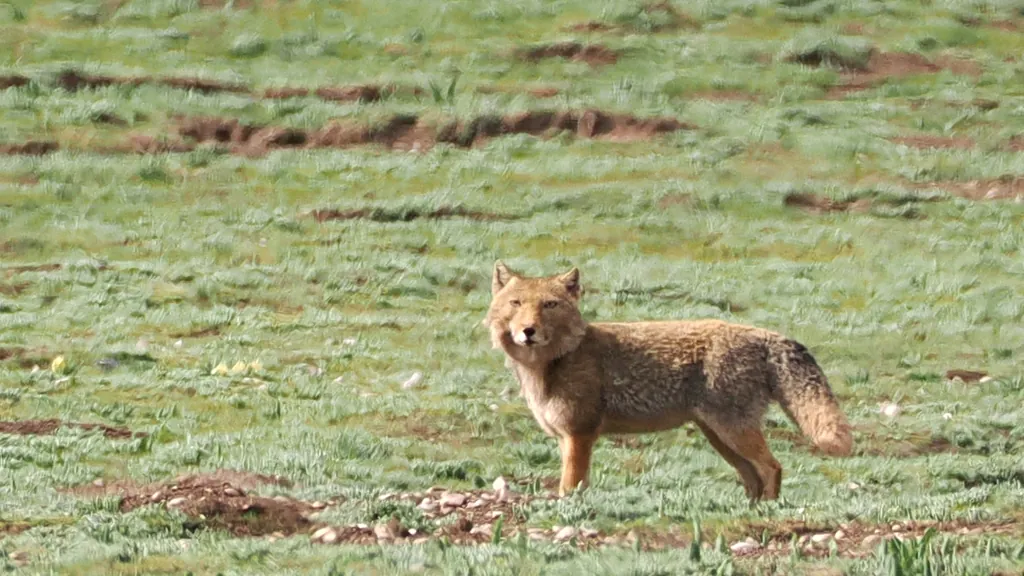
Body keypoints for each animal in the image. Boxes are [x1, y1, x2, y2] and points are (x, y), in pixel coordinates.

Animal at [484, 261, 854, 500]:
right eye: (516, 303)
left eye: (549, 305)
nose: (528, 331)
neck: (553, 364)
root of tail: (764, 333)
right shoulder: (567, 438)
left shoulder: (580, 434)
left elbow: (569, 487)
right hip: (721, 438)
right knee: (755, 478)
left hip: (732, 433)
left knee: (773, 468)